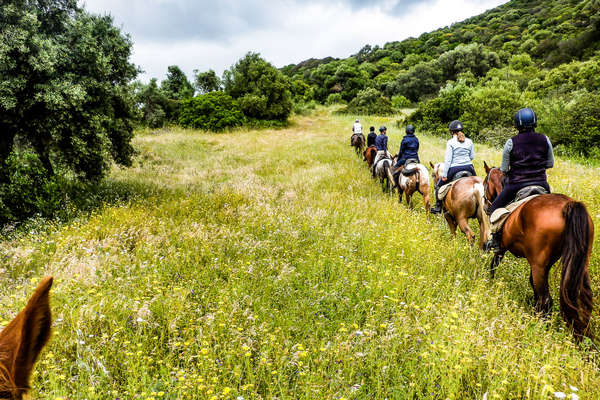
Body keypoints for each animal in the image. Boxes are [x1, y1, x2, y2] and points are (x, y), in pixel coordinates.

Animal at [480, 162, 592, 340]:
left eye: (485, 182)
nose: (485, 206)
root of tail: (569, 205)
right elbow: (532, 283)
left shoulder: (502, 248)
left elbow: (493, 265)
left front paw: (489, 283)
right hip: (578, 265)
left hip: (538, 264)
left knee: (546, 299)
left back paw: (541, 328)